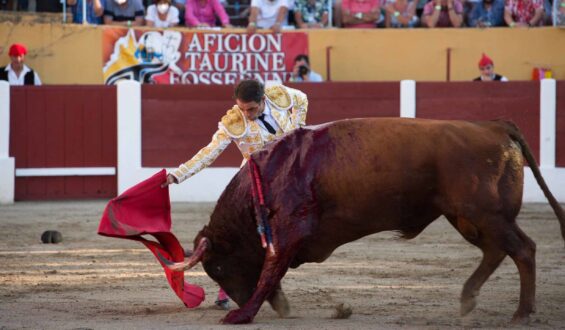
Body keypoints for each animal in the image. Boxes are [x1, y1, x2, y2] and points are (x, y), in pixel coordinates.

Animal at [167, 118, 564, 324]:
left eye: (218, 267)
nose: (235, 303)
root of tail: (495, 128)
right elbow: (271, 272)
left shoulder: (289, 230)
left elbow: (268, 271)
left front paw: (243, 315)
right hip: (465, 215)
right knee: (497, 251)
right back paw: (469, 300)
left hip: (484, 212)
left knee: (522, 249)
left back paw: (521, 314)